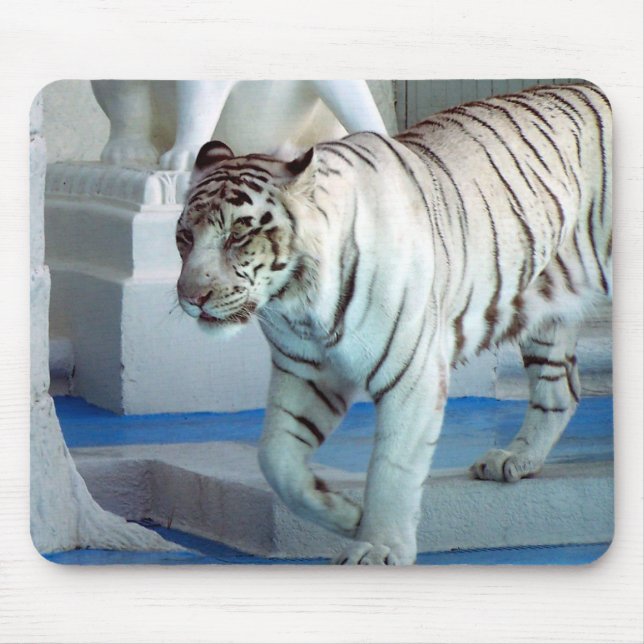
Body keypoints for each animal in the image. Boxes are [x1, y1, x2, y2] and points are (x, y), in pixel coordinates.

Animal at [175, 82, 612, 565]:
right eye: (185, 237)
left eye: (238, 235)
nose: (190, 298)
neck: (299, 302)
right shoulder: (304, 371)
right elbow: (275, 457)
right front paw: (345, 514)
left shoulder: (413, 371)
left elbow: (393, 468)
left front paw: (377, 547)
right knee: (562, 389)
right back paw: (515, 459)